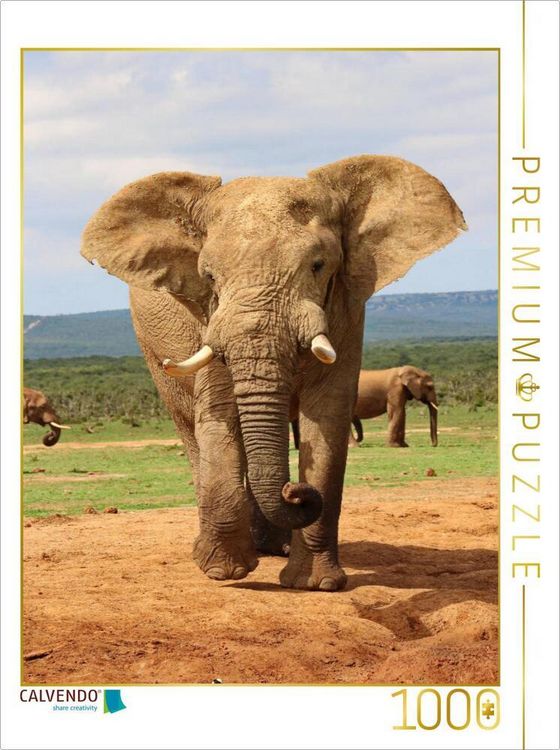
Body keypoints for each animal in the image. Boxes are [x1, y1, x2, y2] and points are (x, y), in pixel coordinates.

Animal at [81, 154, 465, 590]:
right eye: (209, 276)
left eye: (318, 265)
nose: (295, 493)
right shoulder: (211, 319)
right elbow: (218, 415)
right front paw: (225, 572)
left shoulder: (346, 309)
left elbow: (327, 420)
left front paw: (316, 584)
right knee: (190, 431)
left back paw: (273, 547)